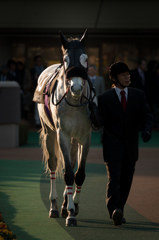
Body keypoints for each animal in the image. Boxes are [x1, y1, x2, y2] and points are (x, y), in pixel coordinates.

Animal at [35, 31, 95, 226]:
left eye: (85, 58)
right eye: (66, 59)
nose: (76, 86)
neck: (74, 103)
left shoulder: (85, 137)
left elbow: (79, 173)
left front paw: (73, 205)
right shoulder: (62, 135)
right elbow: (68, 173)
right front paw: (70, 213)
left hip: (74, 139)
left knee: (72, 163)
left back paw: (63, 204)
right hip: (50, 132)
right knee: (53, 163)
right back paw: (54, 206)